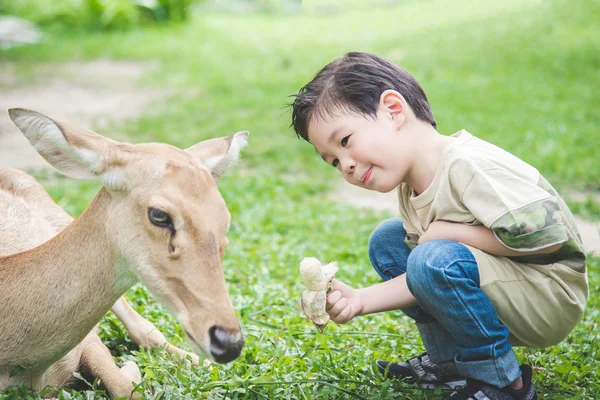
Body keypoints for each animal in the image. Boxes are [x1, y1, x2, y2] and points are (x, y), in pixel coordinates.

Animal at [0, 108, 248, 398]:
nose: (229, 342)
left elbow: (123, 386)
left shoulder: (90, 342)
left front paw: (131, 368)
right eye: (159, 214)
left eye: (225, 219)